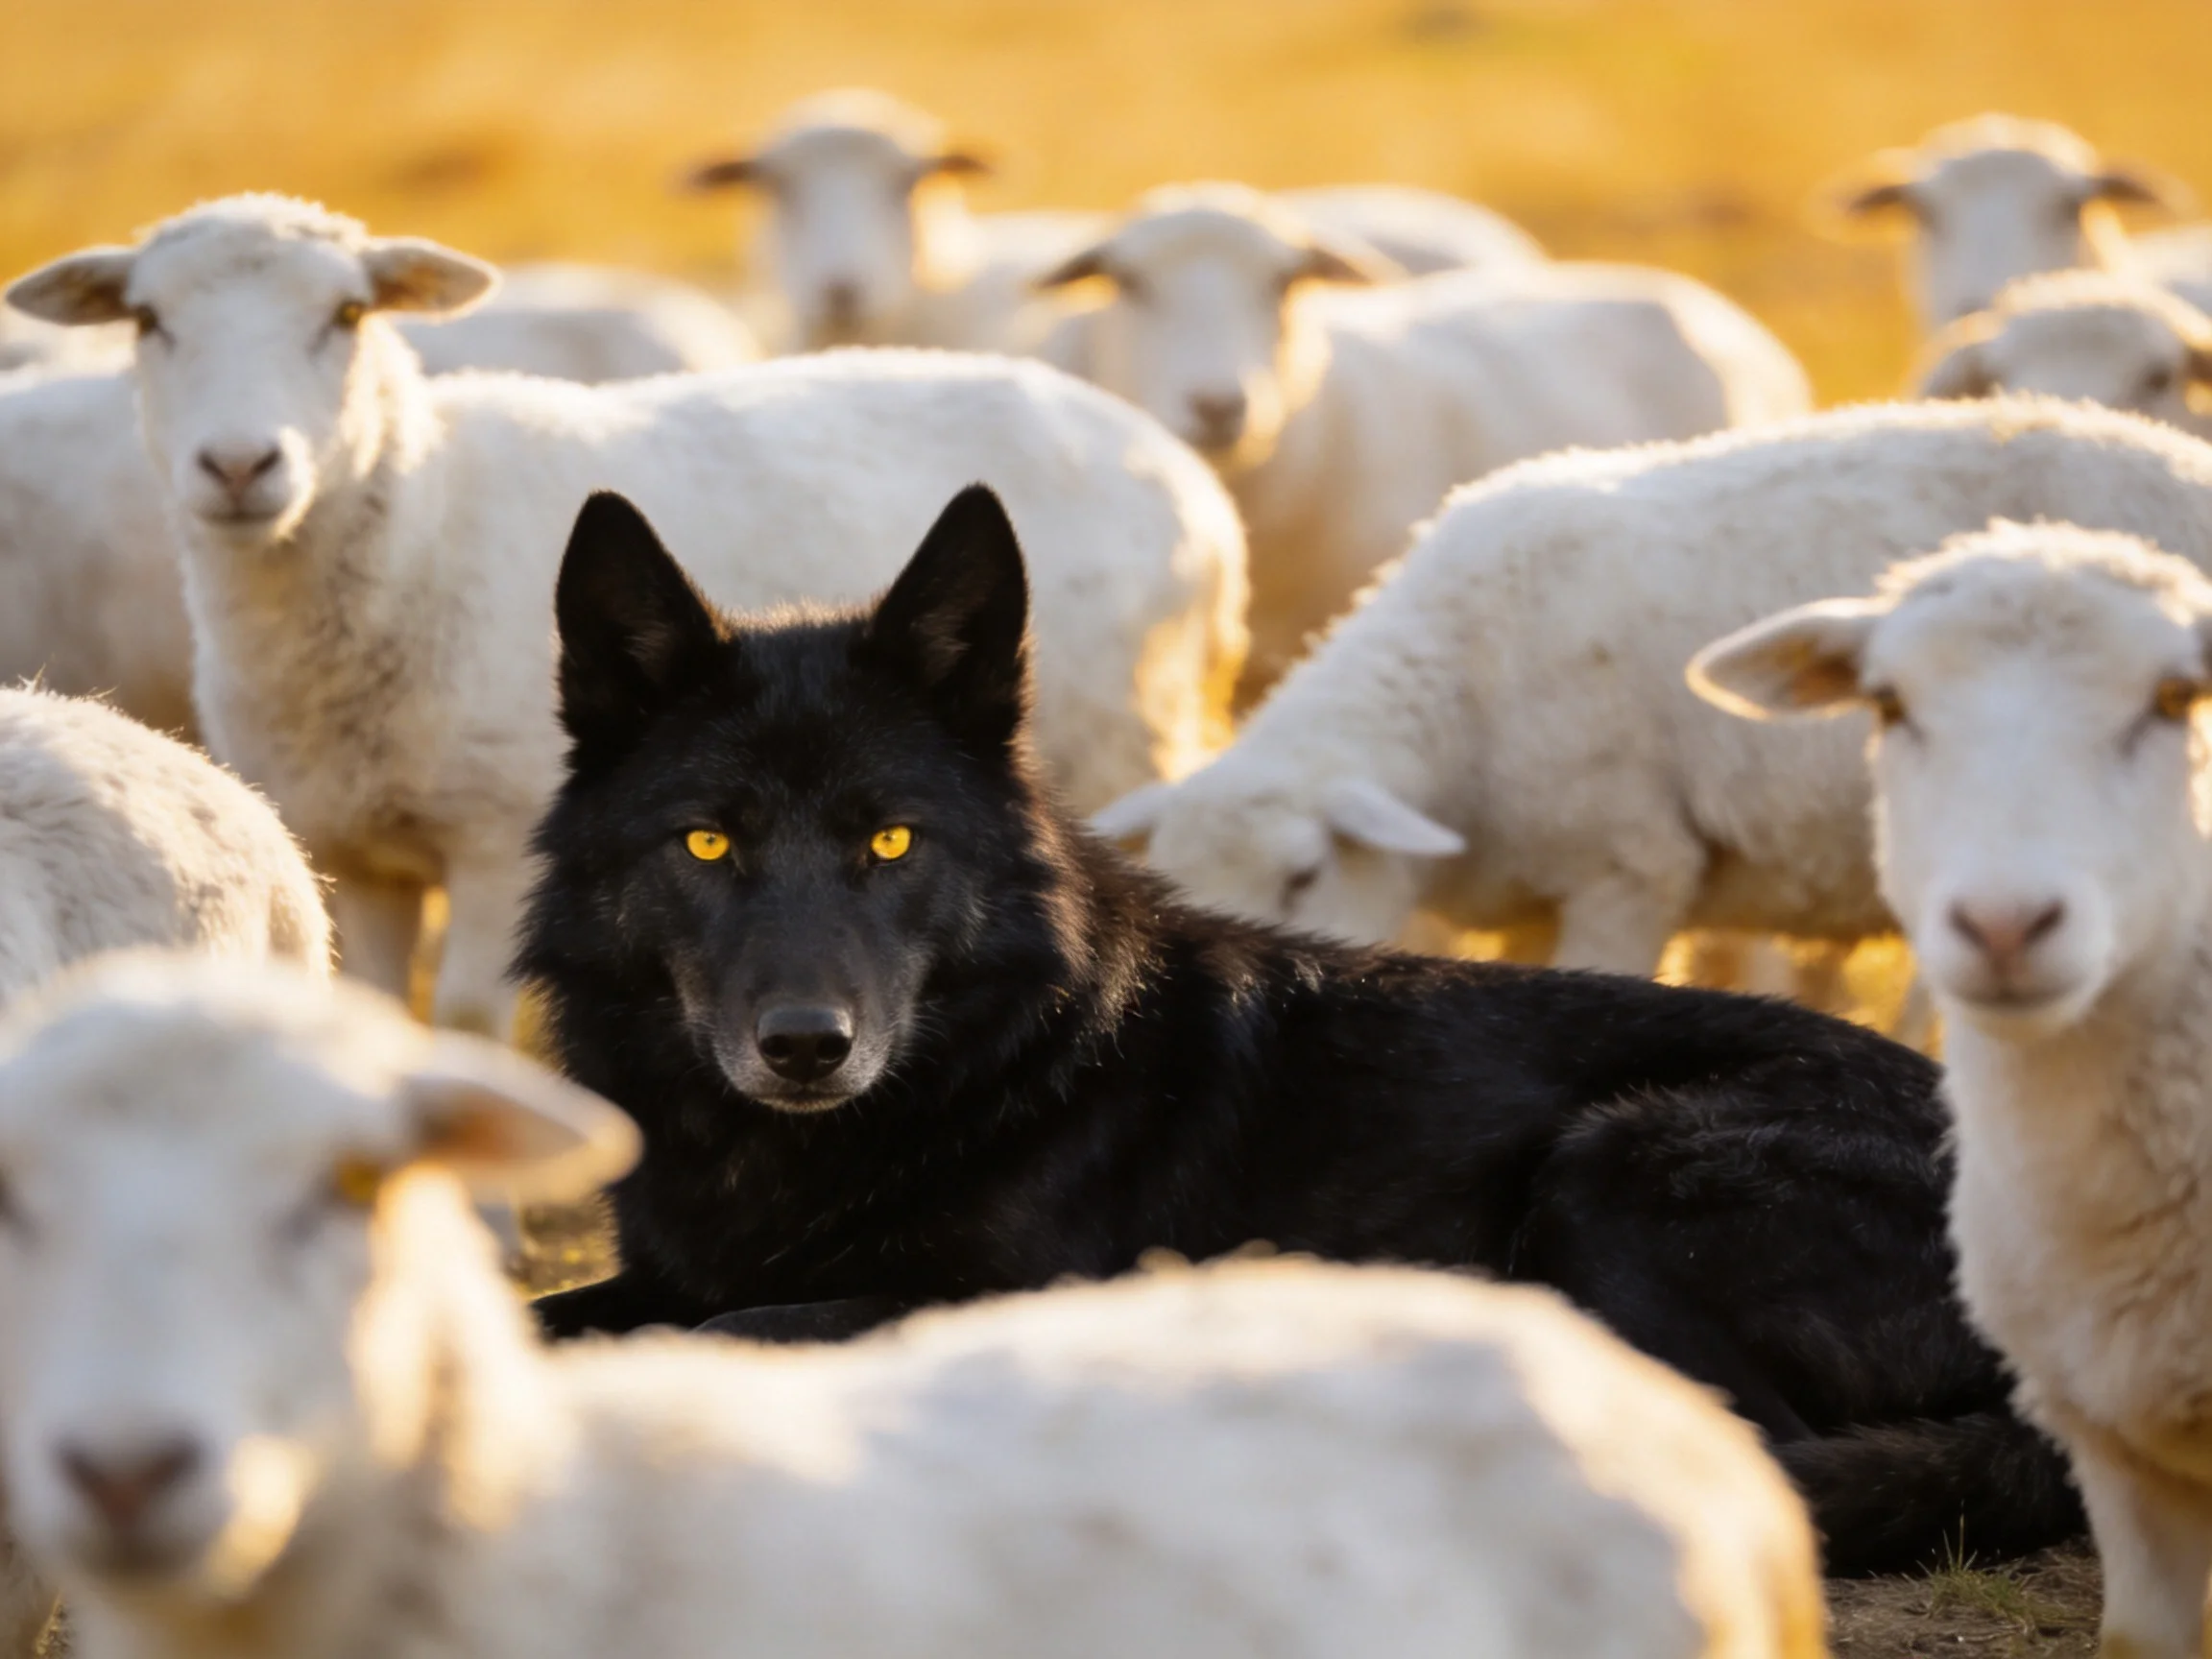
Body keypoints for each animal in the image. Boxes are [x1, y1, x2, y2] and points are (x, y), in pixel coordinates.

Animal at [518, 483, 2078, 1573]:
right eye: (708, 843)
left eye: (890, 839)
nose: (805, 1044)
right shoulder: (658, 1266)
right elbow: (570, 1314)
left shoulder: (993, 1295)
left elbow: (735, 1331)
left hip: (1619, 1169)